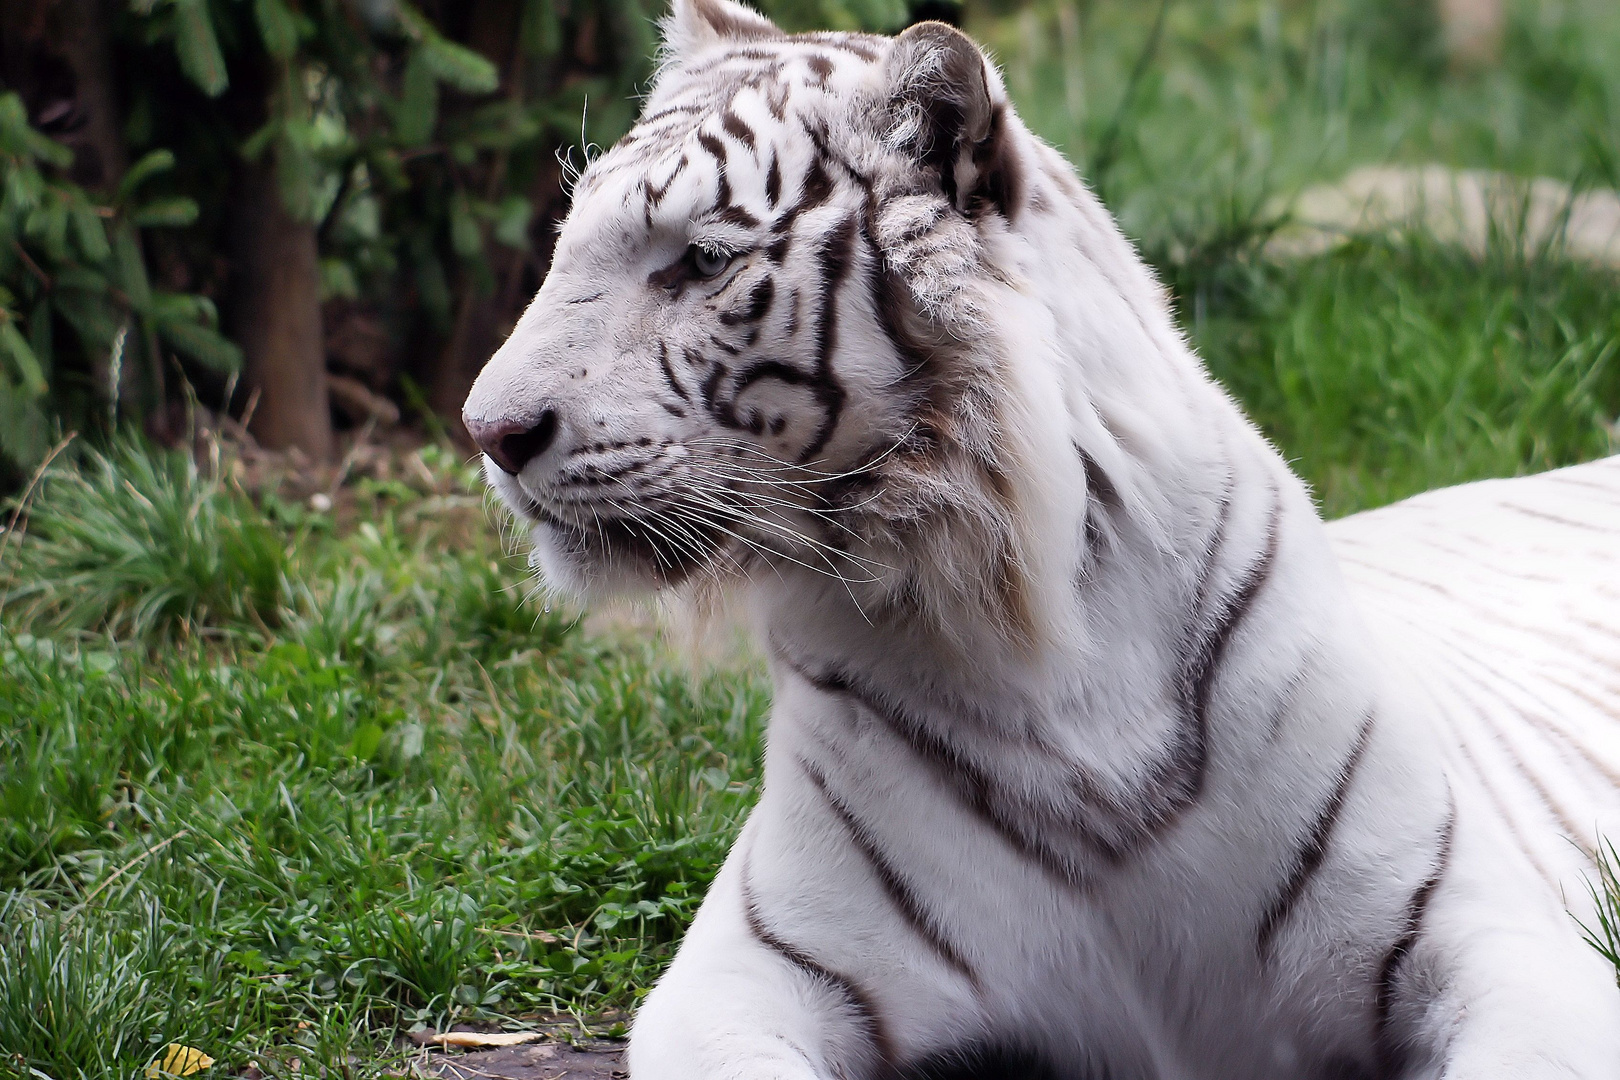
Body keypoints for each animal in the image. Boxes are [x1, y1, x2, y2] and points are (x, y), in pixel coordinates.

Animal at [463, 2, 1620, 1075]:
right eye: (567, 241)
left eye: (700, 261)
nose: (487, 432)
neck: (1030, 646)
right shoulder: (757, 964)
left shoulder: (1486, 933)